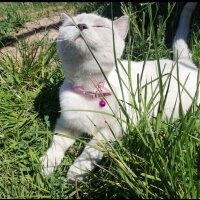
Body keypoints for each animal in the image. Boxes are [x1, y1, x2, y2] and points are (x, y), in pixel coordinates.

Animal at [39, 2, 198, 180]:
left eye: (99, 26)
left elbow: (92, 149)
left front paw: (77, 172)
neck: (89, 90)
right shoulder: (66, 124)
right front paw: (47, 165)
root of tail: (183, 62)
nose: (81, 26)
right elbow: (57, 144)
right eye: (71, 25)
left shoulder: (115, 128)